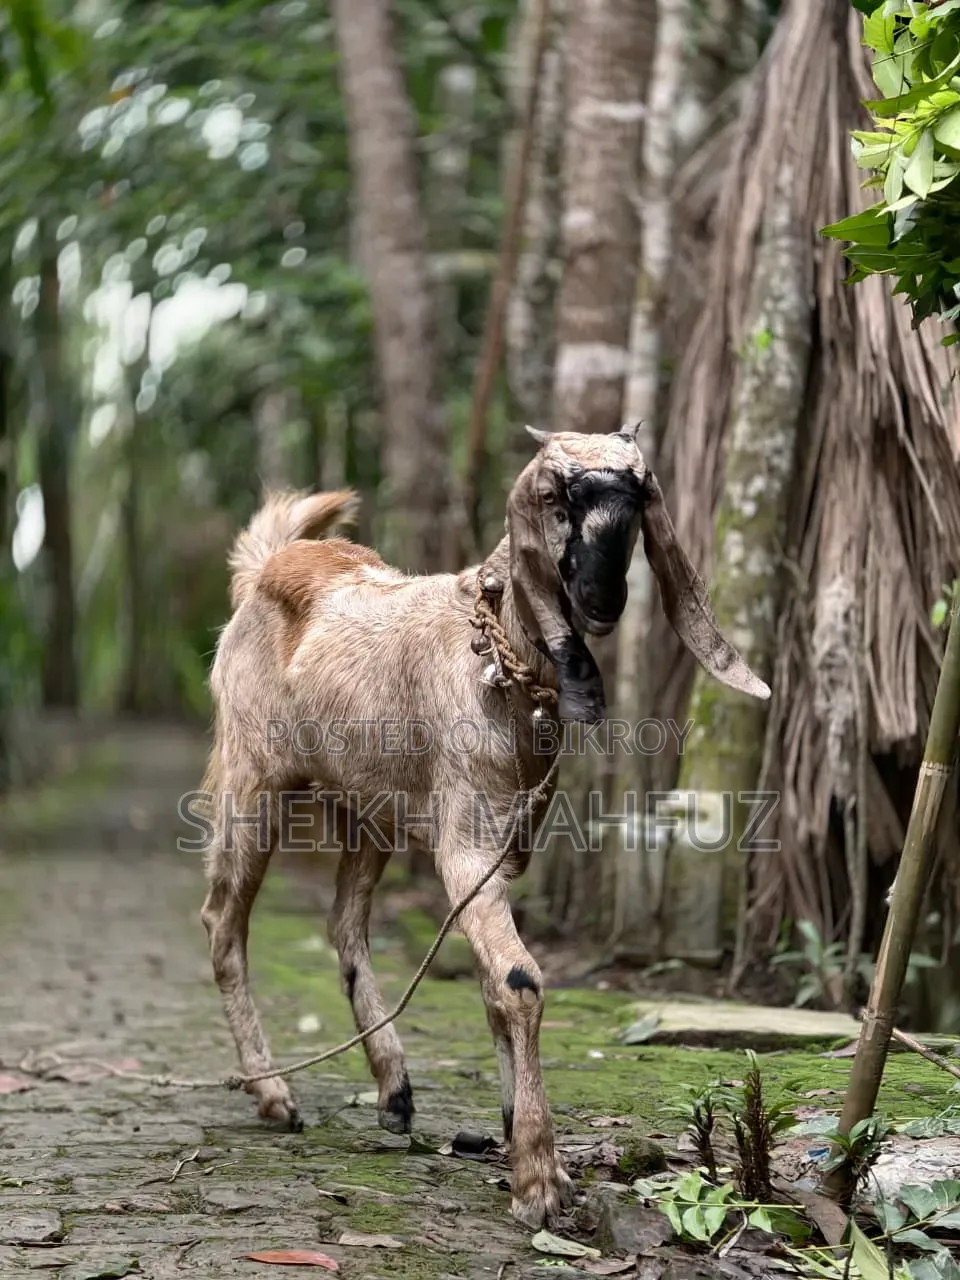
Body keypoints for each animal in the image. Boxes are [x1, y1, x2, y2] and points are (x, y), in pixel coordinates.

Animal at [198, 422, 770, 1228]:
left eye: (637, 501)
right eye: (556, 497)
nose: (602, 597)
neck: (496, 662)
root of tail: (267, 566)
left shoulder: (504, 847)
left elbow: (494, 981)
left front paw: (516, 1140)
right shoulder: (466, 845)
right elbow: (519, 980)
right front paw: (538, 1179)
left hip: (371, 810)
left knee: (345, 925)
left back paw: (395, 1092)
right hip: (251, 782)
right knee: (224, 922)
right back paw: (275, 1095)